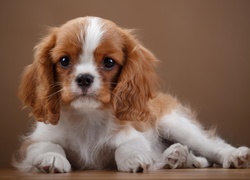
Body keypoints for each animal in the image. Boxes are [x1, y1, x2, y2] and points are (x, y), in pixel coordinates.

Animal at [14, 16, 250, 173]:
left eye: (109, 62)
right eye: (64, 61)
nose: (84, 78)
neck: (88, 116)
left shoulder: (135, 134)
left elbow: (128, 146)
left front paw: (134, 159)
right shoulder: (33, 142)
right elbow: (48, 145)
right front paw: (52, 159)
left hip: (175, 123)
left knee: (212, 146)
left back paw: (233, 156)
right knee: (199, 158)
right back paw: (178, 157)